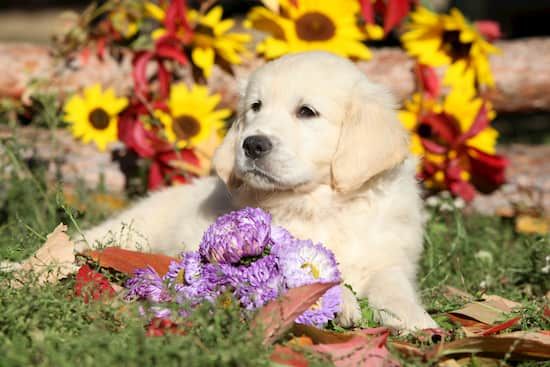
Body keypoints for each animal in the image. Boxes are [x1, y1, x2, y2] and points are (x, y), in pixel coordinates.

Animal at [80, 51, 438, 330]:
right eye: (256, 107)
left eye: (306, 111)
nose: (252, 144)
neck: (322, 204)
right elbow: (312, 273)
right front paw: (343, 302)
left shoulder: (388, 255)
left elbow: (393, 286)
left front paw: (415, 319)